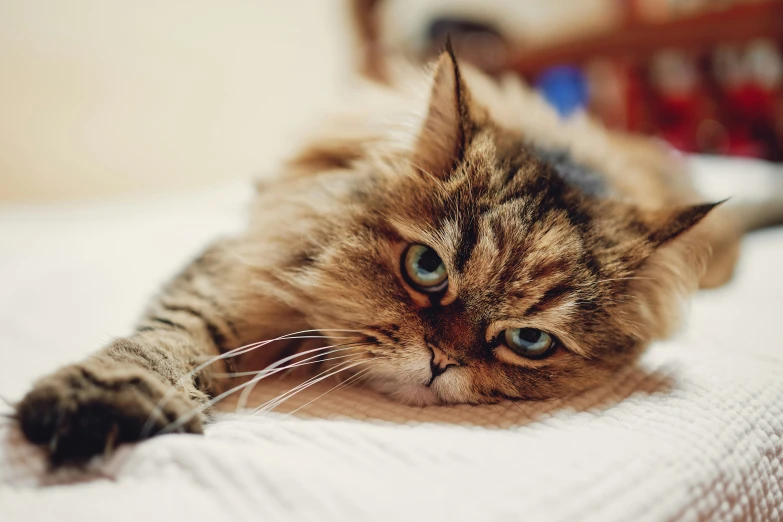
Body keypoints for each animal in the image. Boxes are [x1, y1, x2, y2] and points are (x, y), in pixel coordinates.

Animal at [13, 30, 783, 464]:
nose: (440, 362)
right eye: (425, 267)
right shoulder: (235, 273)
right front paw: (108, 400)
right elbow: (162, 343)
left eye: (528, 340)